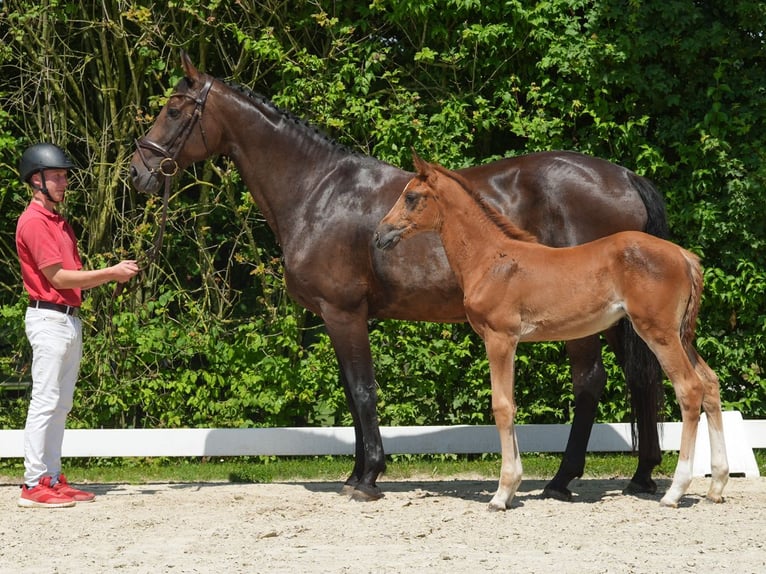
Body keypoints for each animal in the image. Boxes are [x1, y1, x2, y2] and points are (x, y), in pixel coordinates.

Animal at [129, 53, 668, 504]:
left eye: (173, 110)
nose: (137, 172)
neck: (317, 191)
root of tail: (624, 176)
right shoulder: (338, 318)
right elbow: (352, 394)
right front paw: (355, 473)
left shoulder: (344, 313)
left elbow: (363, 389)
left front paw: (368, 478)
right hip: (618, 316)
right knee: (644, 376)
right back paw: (642, 476)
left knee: (590, 382)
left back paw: (561, 480)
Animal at [378, 155, 732, 510]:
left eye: (411, 197)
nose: (381, 234)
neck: (491, 260)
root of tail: (684, 256)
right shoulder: (510, 341)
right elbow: (510, 405)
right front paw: (511, 486)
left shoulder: (499, 338)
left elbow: (502, 406)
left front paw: (502, 494)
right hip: (681, 335)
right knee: (710, 383)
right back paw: (716, 486)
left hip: (659, 333)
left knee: (689, 389)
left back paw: (675, 491)